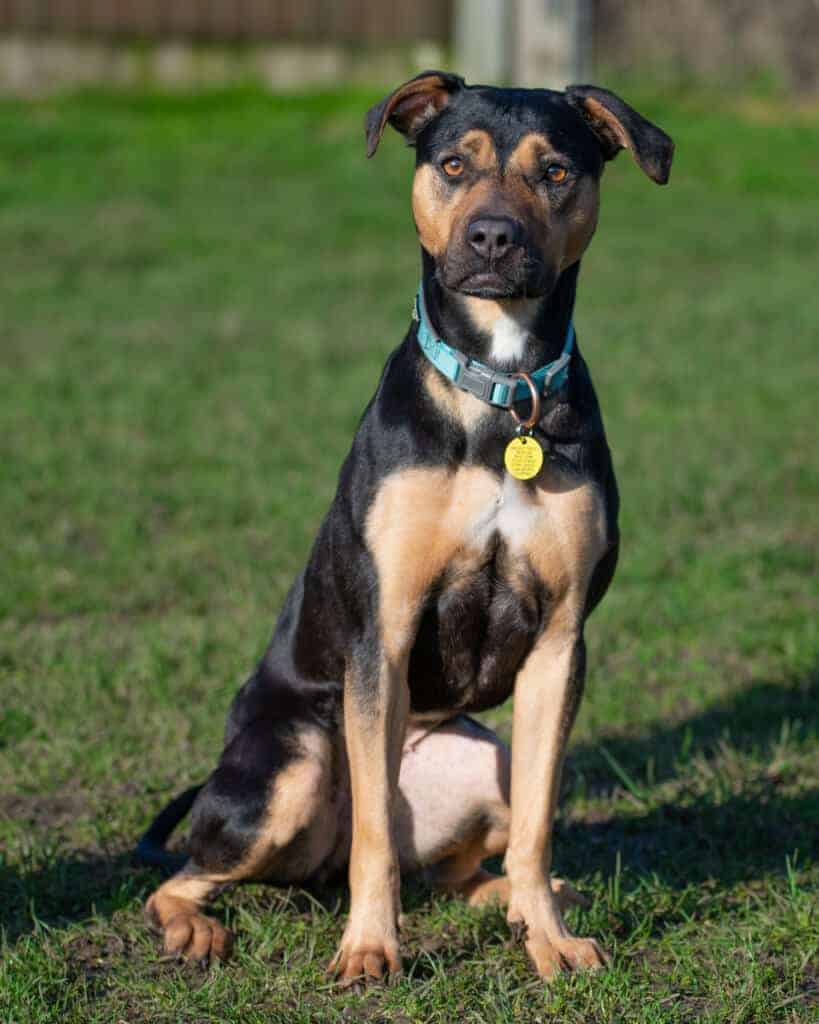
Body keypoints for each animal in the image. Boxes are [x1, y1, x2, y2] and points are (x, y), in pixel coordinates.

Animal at [139, 72, 671, 983]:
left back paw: (521, 902)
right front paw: (367, 950)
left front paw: (550, 939)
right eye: (453, 164)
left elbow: (537, 823)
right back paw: (195, 928)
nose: (492, 237)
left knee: (460, 865)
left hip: (486, 756)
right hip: (286, 773)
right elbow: (375, 837)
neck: (501, 390)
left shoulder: (559, 642)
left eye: (557, 171)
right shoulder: (381, 630)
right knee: (185, 875)